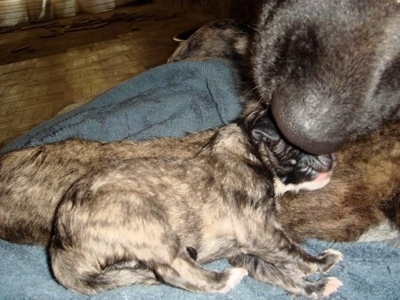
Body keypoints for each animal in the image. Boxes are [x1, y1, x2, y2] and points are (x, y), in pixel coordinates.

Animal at [48, 115, 340, 298]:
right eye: (301, 144)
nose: (334, 157)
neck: (249, 150)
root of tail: (60, 243)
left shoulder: (245, 250)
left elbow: (280, 273)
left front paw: (315, 289)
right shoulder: (259, 233)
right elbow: (294, 253)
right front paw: (322, 262)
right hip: (146, 220)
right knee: (174, 270)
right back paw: (225, 279)